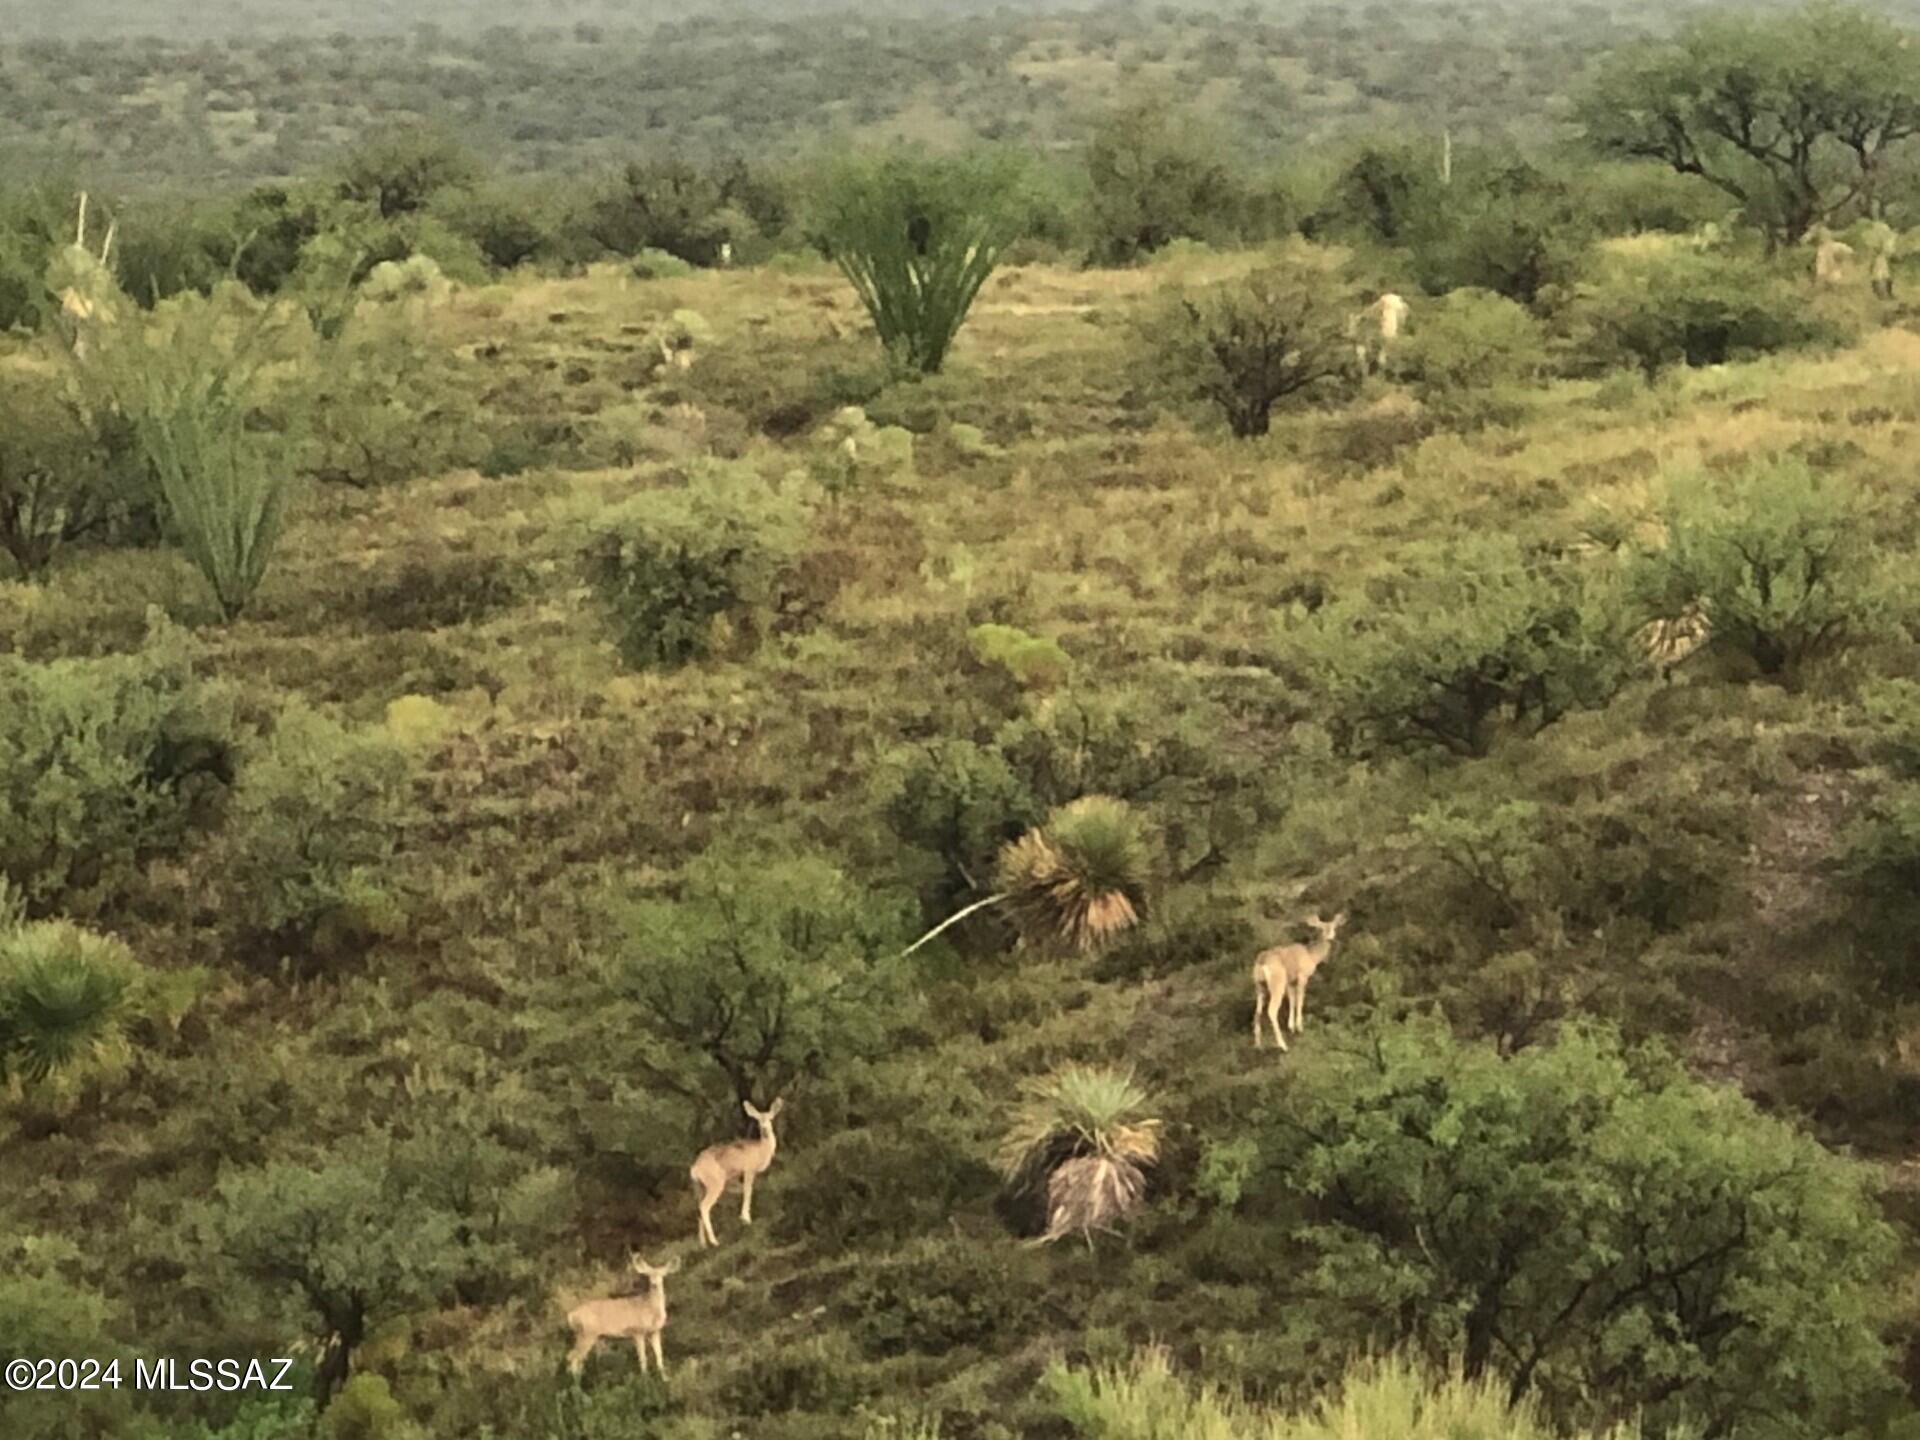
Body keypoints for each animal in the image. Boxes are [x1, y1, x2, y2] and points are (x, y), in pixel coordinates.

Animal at [691, 1097, 783, 1247]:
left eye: (770, 1118)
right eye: (758, 1120)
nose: (764, 1129)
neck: (761, 1151)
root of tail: (694, 1169)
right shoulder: (749, 1168)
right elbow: (748, 1191)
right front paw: (746, 1218)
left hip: (699, 1187)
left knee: (698, 1208)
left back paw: (703, 1243)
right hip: (715, 1182)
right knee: (704, 1206)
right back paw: (714, 1241)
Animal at [1252, 912, 1347, 1052]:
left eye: (1334, 927)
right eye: (1321, 928)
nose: (1330, 937)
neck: (1312, 956)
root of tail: (1262, 961)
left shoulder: (1290, 981)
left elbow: (1292, 1000)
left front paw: (1291, 1026)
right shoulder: (1302, 976)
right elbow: (1300, 999)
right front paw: (1299, 1026)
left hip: (1259, 985)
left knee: (1257, 1012)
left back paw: (1258, 1044)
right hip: (1277, 982)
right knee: (1271, 1010)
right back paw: (1283, 1045)